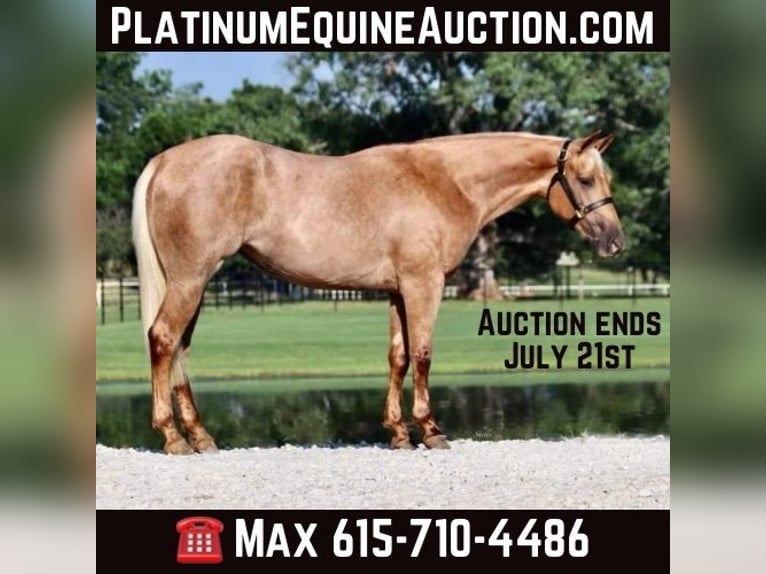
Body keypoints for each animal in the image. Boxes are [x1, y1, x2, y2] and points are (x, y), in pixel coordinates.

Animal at [131, 130, 624, 454]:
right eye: (585, 180)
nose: (615, 242)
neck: (445, 181)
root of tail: (165, 161)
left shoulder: (397, 290)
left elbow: (398, 357)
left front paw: (399, 434)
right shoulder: (425, 283)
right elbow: (422, 354)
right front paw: (431, 430)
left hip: (195, 281)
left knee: (181, 349)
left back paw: (200, 437)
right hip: (191, 279)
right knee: (163, 339)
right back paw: (173, 437)